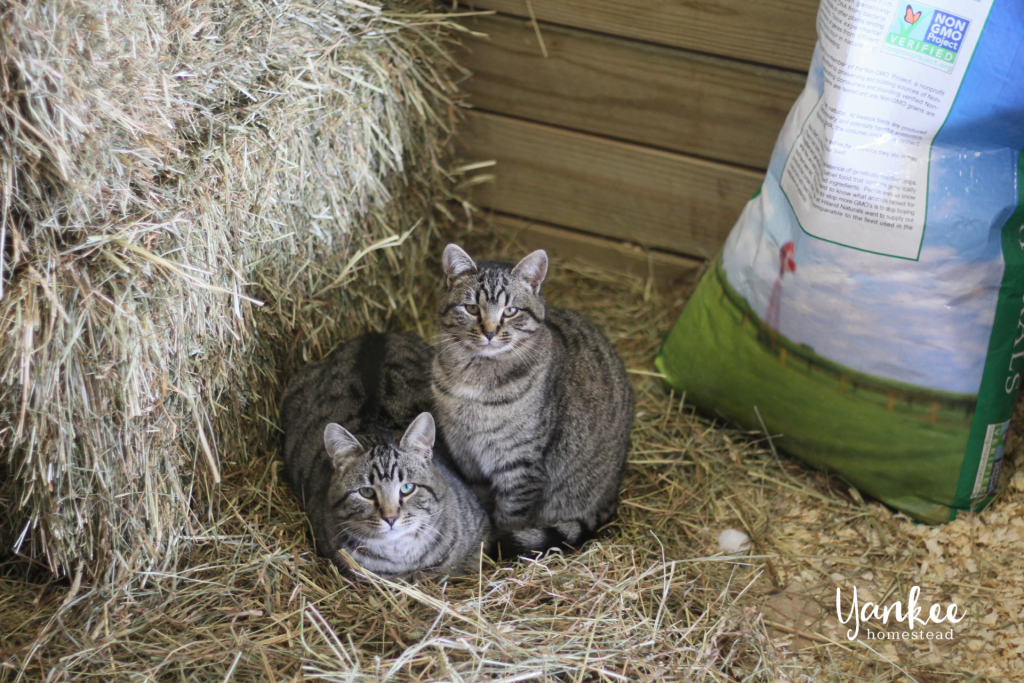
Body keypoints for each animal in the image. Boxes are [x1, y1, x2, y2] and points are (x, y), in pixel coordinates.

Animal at [430, 245, 630, 561]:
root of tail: (612, 497)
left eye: (510, 311)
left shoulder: (520, 465)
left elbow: (510, 517)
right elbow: (481, 498)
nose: (489, 332)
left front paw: (498, 546)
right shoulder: (465, 454)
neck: (477, 374)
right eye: (471, 308)